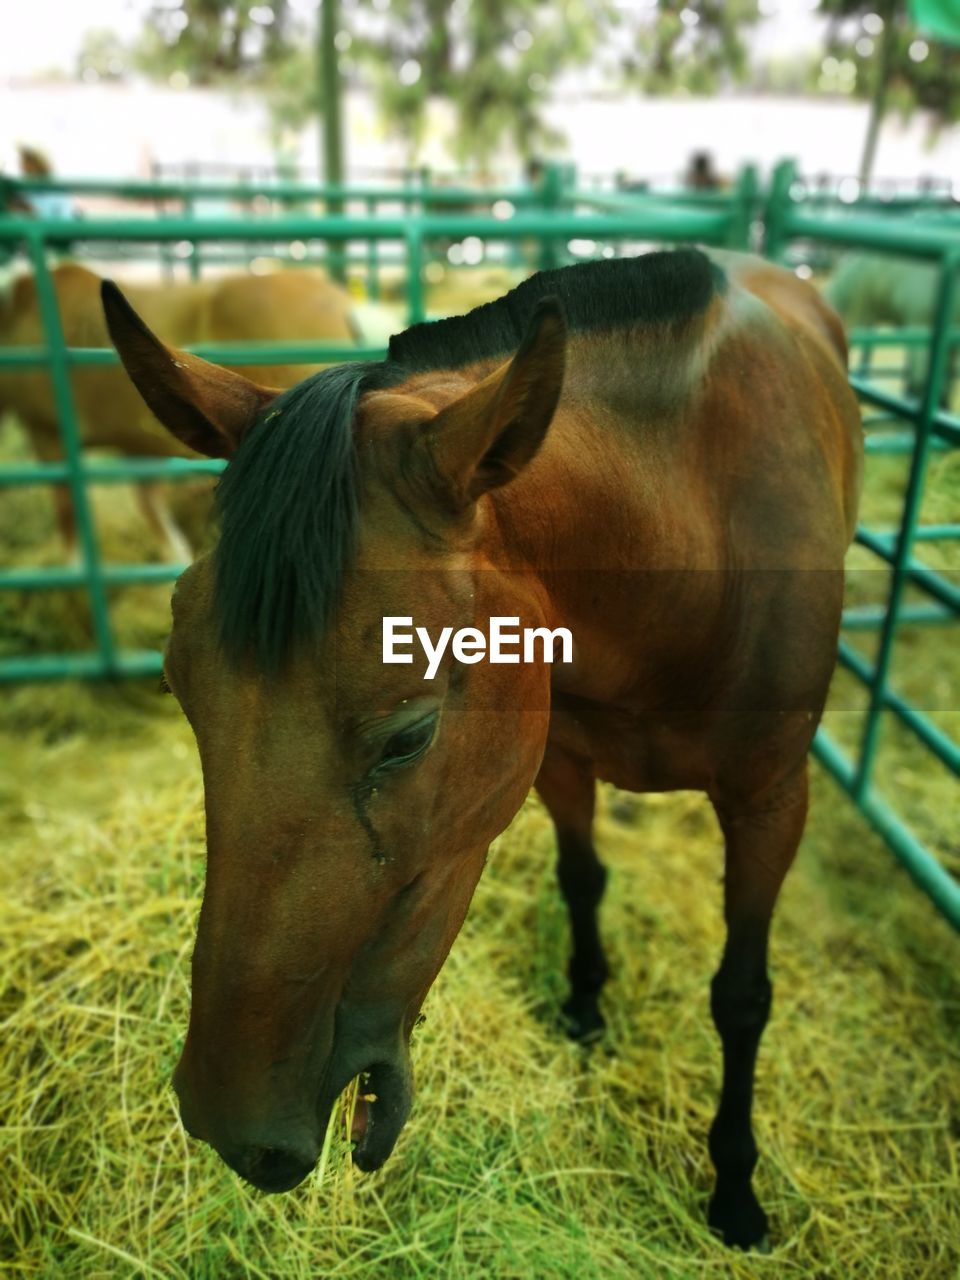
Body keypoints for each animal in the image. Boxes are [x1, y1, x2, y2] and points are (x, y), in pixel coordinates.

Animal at [104, 247, 865, 1249]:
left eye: (410, 736)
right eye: (178, 688)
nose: (232, 1125)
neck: (693, 532)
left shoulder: (771, 799)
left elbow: (741, 996)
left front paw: (735, 1188)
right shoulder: (559, 759)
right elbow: (582, 880)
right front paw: (585, 1004)